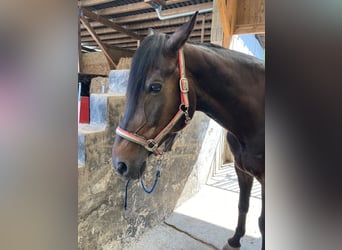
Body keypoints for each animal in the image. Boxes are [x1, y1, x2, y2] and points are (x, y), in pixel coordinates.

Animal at [112, 12, 264, 250]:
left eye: (155, 87)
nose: (120, 164)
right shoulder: (241, 170)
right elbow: (243, 204)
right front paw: (234, 240)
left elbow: (263, 222)